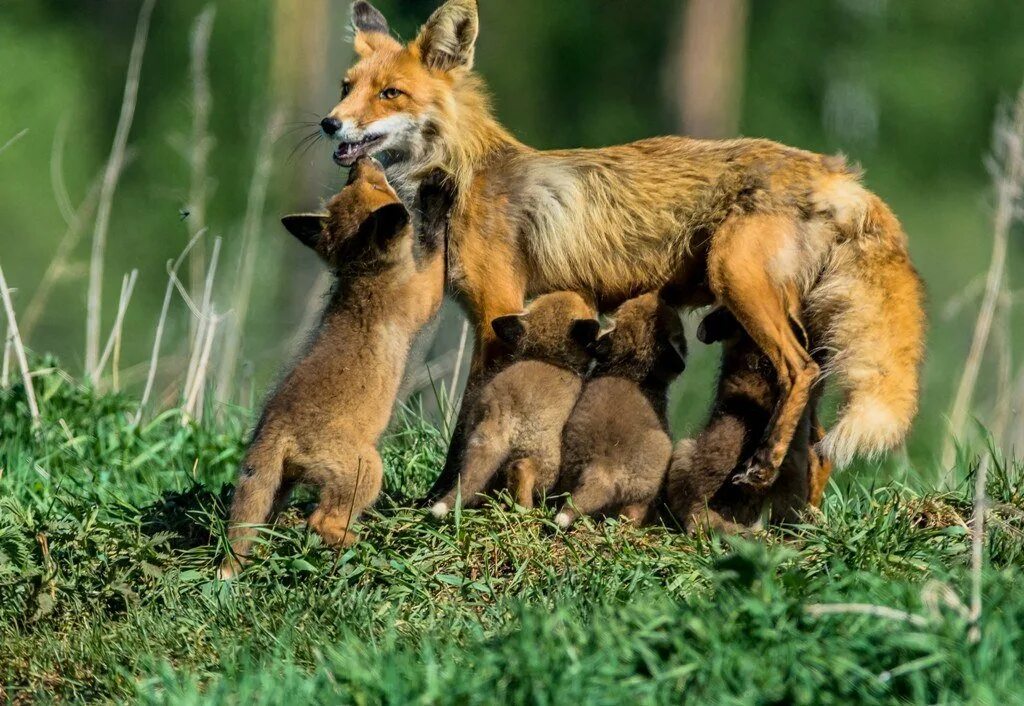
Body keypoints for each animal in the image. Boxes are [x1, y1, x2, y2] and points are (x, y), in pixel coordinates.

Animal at [220, 159, 448, 577]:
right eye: (380, 187)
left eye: (353, 182)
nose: (361, 160)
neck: (363, 275)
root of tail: (274, 428)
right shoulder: (425, 295)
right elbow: (436, 247)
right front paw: (440, 200)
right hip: (367, 468)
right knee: (319, 521)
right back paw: (363, 545)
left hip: (280, 486)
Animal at [315, 0, 925, 493]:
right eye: (346, 88)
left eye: (390, 93)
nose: (328, 124)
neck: (461, 176)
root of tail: (836, 172)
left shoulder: (495, 311)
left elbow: (470, 420)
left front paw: (445, 495)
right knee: (820, 446)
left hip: (738, 280)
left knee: (801, 371)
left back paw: (763, 466)